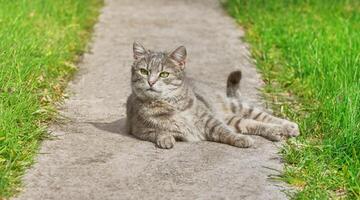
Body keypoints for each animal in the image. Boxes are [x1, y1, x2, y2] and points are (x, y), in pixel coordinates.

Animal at [125, 42, 300, 148]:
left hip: (234, 107)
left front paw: (240, 139)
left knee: (263, 116)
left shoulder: (209, 121)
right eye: (144, 71)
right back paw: (277, 132)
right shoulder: (138, 129)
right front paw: (165, 138)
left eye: (164, 74)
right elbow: (157, 131)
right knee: (252, 124)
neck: (168, 104)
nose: (151, 82)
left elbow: (226, 132)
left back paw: (288, 126)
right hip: (233, 120)